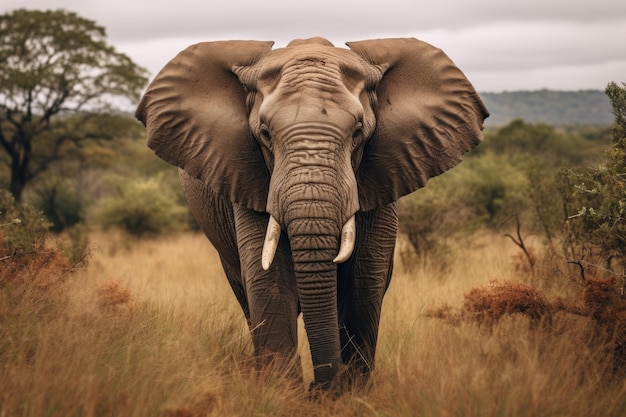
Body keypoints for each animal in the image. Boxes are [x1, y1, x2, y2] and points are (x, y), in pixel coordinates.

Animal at [135, 37, 488, 392]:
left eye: (358, 133)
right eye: (265, 134)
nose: (317, 389)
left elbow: (363, 280)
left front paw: (349, 394)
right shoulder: (246, 176)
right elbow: (269, 280)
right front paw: (282, 393)